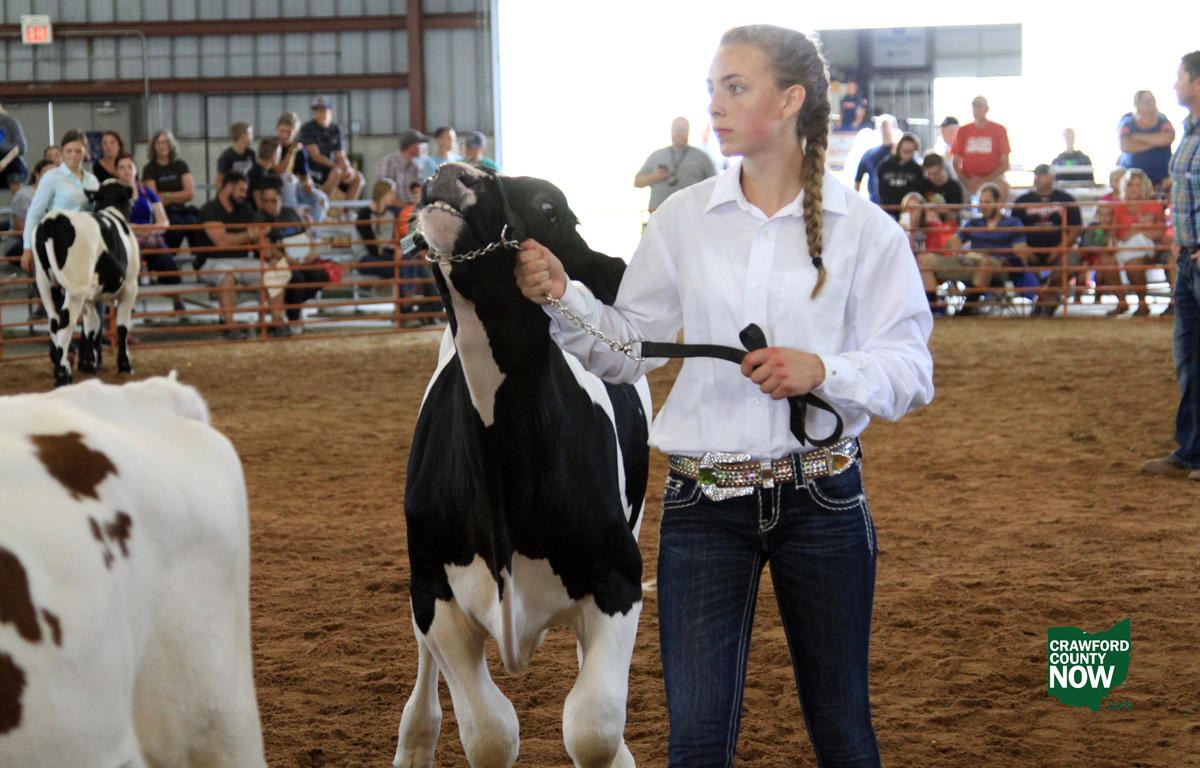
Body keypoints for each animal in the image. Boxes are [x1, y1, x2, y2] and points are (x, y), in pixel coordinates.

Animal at [33, 179, 140, 387]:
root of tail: (53, 218)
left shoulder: (90, 296)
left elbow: (92, 325)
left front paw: (89, 364)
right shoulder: (130, 286)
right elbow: (122, 327)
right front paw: (125, 365)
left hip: (46, 284)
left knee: (53, 323)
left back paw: (62, 370)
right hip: (74, 290)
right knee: (64, 325)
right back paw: (63, 375)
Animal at [395, 162, 651, 768]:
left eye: (550, 208)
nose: (451, 170)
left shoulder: (619, 579)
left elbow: (593, 726)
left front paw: (617, 751)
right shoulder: (434, 592)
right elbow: (491, 732)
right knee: (423, 675)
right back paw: (413, 743)